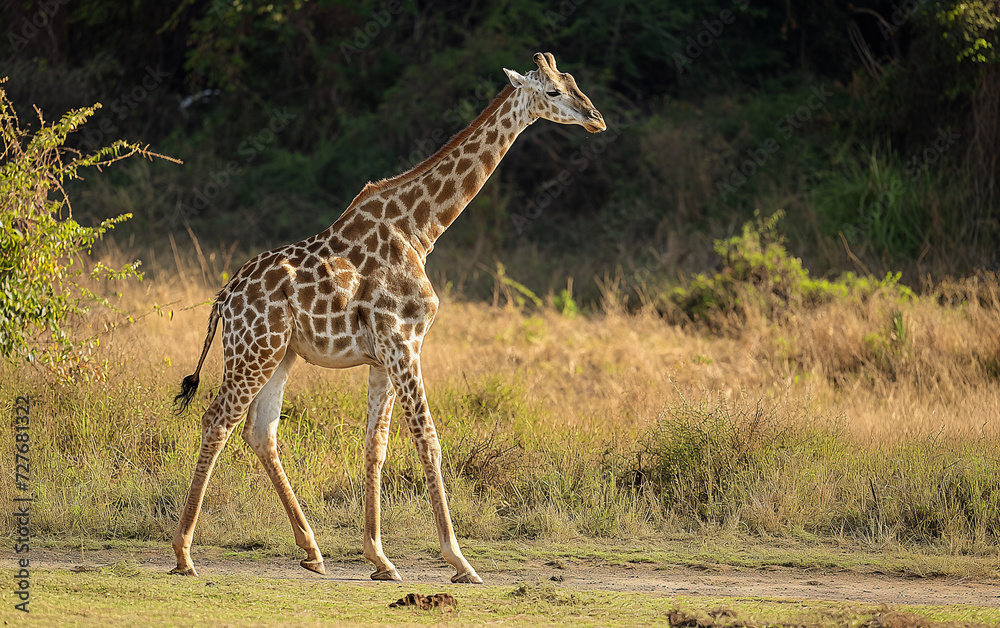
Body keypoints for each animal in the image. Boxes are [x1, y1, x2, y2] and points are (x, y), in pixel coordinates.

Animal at [170, 52, 605, 584]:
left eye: (573, 81)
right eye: (552, 92)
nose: (595, 118)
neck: (420, 229)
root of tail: (223, 299)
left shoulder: (382, 356)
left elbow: (374, 444)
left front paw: (380, 558)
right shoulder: (404, 341)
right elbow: (428, 439)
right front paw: (460, 561)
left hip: (281, 354)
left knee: (260, 430)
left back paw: (311, 550)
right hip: (254, 350)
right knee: (218, 420)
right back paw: (184, 553)